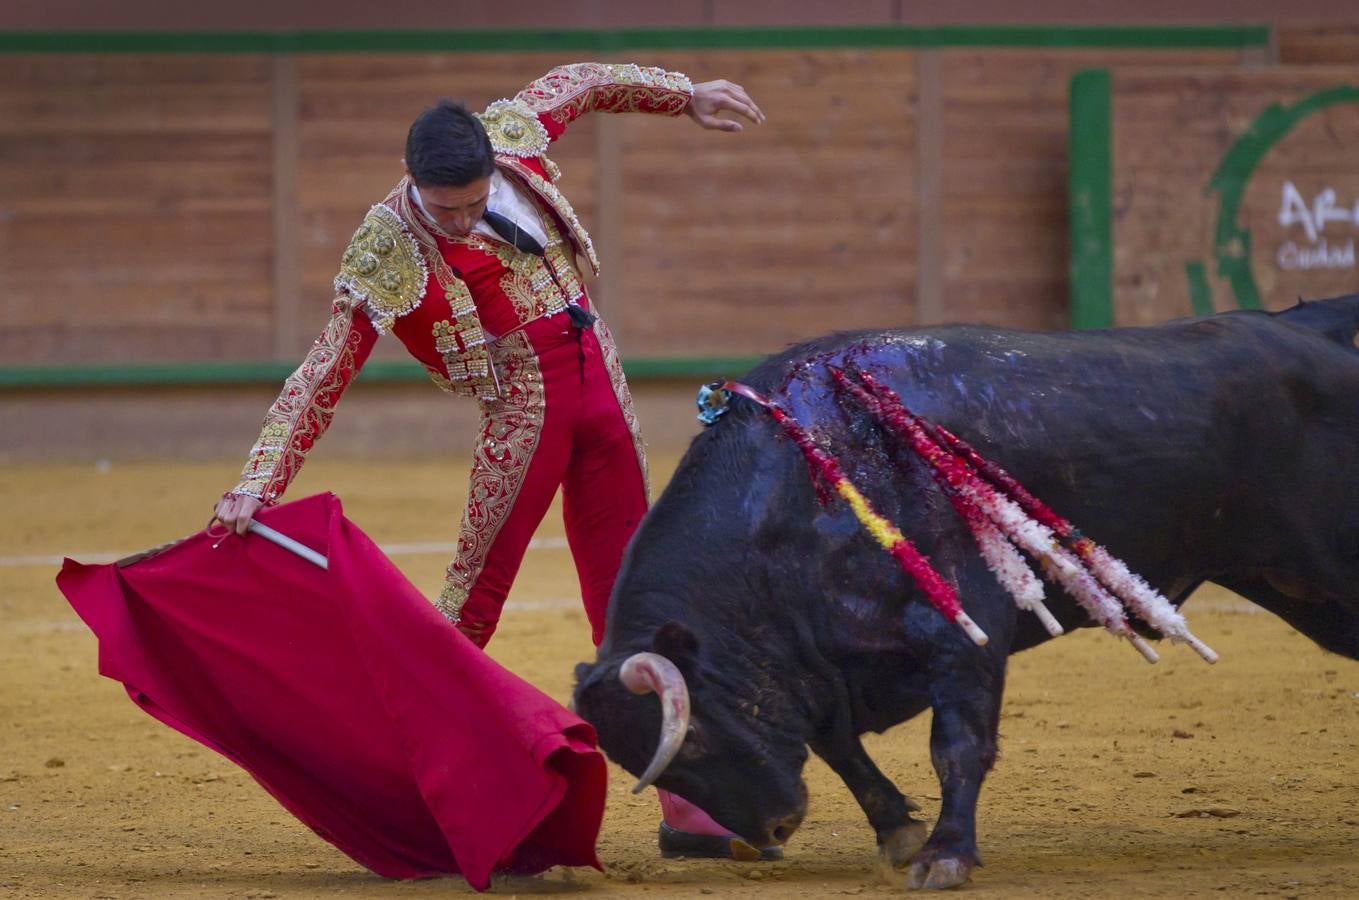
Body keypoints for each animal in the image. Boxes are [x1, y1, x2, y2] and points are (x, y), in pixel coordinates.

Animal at [570, 296, 1359, 886]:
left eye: (695, 736)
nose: (775, 827)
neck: (801, 487)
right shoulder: (818, 660)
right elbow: (839, 747)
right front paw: (899, 833)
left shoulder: (964, 630)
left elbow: (956, 744)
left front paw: (945, 856)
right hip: (1296, 587)